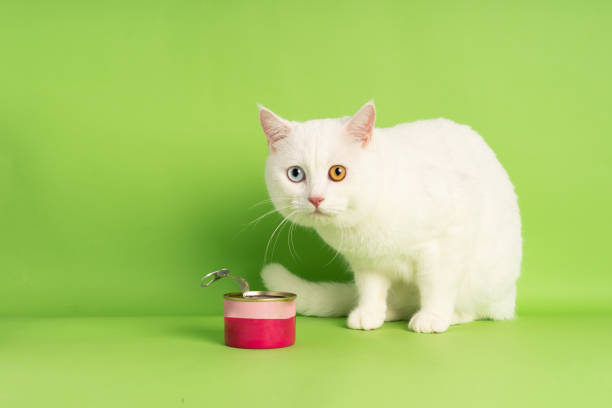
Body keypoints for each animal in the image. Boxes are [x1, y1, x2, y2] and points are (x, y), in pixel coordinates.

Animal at [258, 101, 520, 332]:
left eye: (338, 172)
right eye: (295, 174)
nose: (315, 198)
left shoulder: (446, 241)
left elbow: (436, 284)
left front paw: (432, 317)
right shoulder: (367, 262)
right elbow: (370, 289)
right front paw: (369, 313)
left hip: (483, 278)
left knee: (475, 309)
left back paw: (449, 316)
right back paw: (390, 312)